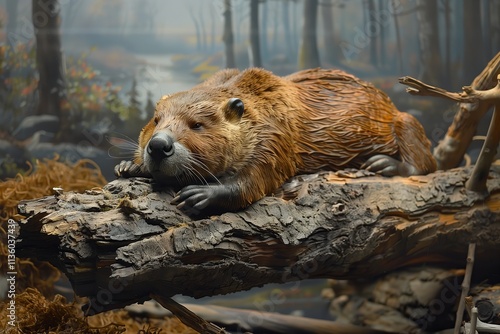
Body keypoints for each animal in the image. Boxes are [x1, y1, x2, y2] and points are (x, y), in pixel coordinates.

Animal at [115, 68, 436, 211]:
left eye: (197, 125)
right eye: (156, 119)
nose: (158, 146)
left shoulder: (276, 134)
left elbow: (258, 179)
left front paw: (200, 194)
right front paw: (128, 167)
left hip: (403, 121)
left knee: (425, 161)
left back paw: (383, 164)